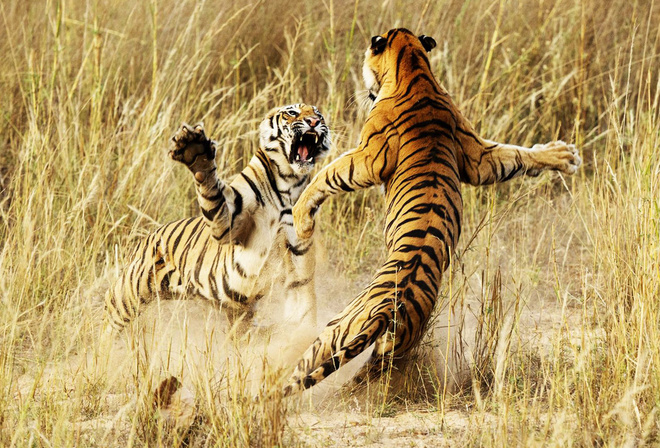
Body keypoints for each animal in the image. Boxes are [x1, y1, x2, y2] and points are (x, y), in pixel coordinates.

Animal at [104, 104, 330, 331]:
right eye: (292, 113)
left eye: (318, 115)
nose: (313, 122)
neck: (288, 183)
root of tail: (147, 238)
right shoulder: (229, 224)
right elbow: (211, 189)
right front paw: (195, 151)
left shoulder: (298, 263)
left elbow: (302, 309)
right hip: (128, 293)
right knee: (108, 314)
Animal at [283, 29, 581, 395]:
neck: (415, 67)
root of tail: (387, 312)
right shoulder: (478, 157)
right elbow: (516, 156)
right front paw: (562, 155)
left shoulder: (368, 157)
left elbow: (327, 175)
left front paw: (301, 219)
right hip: (382, 348)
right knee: (359, 376)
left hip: (336, 328)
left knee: (303, 370)